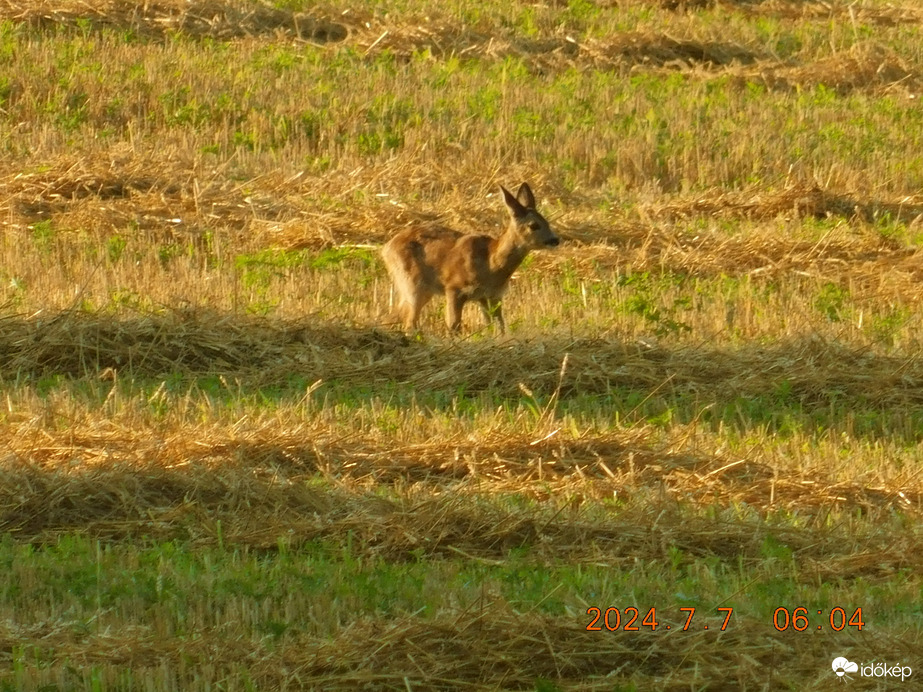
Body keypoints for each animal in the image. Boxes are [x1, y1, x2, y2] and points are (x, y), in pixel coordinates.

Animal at [378, 182, 560, 334]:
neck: (491, 264)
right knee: (410, 322)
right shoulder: (454, 288)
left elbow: (498, 326)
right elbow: (453, 325)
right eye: (534, 225)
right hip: (412, 283)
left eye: (547, 221)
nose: (555, 240)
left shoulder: (491, 297)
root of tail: (386, 248)